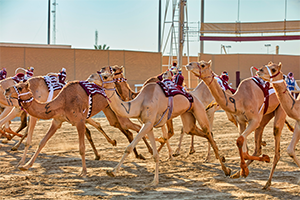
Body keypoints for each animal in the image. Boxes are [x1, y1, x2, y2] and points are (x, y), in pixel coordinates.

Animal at [5, 79, 152, 176]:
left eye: (20, 87)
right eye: (15, 85)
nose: (6, 89)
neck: (62, 101)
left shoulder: (80, 121)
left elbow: (81, 148)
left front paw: (84, 171)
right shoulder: (57, 121)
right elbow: (42, 142)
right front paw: (26, 165)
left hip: (119, 112)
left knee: (137, 126)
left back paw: (149, 152)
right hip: (110, 112)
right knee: (128, 128)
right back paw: (139, 154)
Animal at [88, 65, 231, 186]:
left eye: (106, 76)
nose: (90, 76)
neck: (138, 102)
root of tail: (193, 95)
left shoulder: (148, 123)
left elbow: (129, 147)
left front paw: (112, 171)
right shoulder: (149, 125)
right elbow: (155, 154)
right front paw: (155, 181)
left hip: (200, 110)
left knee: (208, 132)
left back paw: (225, 168)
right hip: (188, 116)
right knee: (195, 131)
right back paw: (218, 158)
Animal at [185, 60, 288, 190]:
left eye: (203, 65)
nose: (189, 64)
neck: (239, 100)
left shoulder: (254, 120)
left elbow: (239, 141)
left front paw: (245, 169)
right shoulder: (242, 122)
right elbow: (243, 148)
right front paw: (243, 171)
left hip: (280, 109)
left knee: (276, 140)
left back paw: (267, 182)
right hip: (266, 115)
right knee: (257, 147)